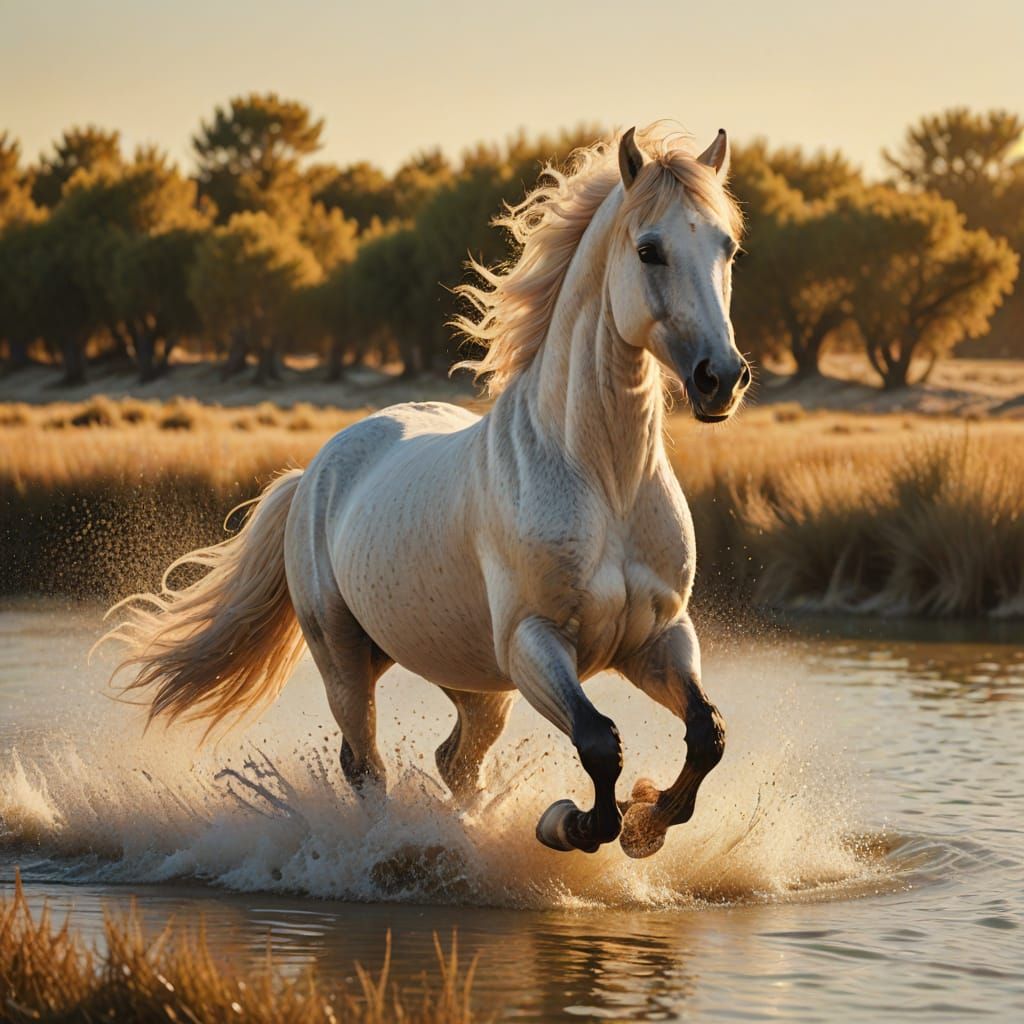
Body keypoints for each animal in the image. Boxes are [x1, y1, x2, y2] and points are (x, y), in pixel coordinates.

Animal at [106, 123, 750, 859]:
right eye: (649, 250)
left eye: (726, 246)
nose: (721, 379)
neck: (603, 481)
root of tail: (312, 473)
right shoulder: (535, 642)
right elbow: (599, 743)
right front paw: (568, 825)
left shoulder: (658, 638)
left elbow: (707, 733)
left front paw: (646, 823)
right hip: (346, 657)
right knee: (366, 765)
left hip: (471, 678)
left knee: (455, 762)